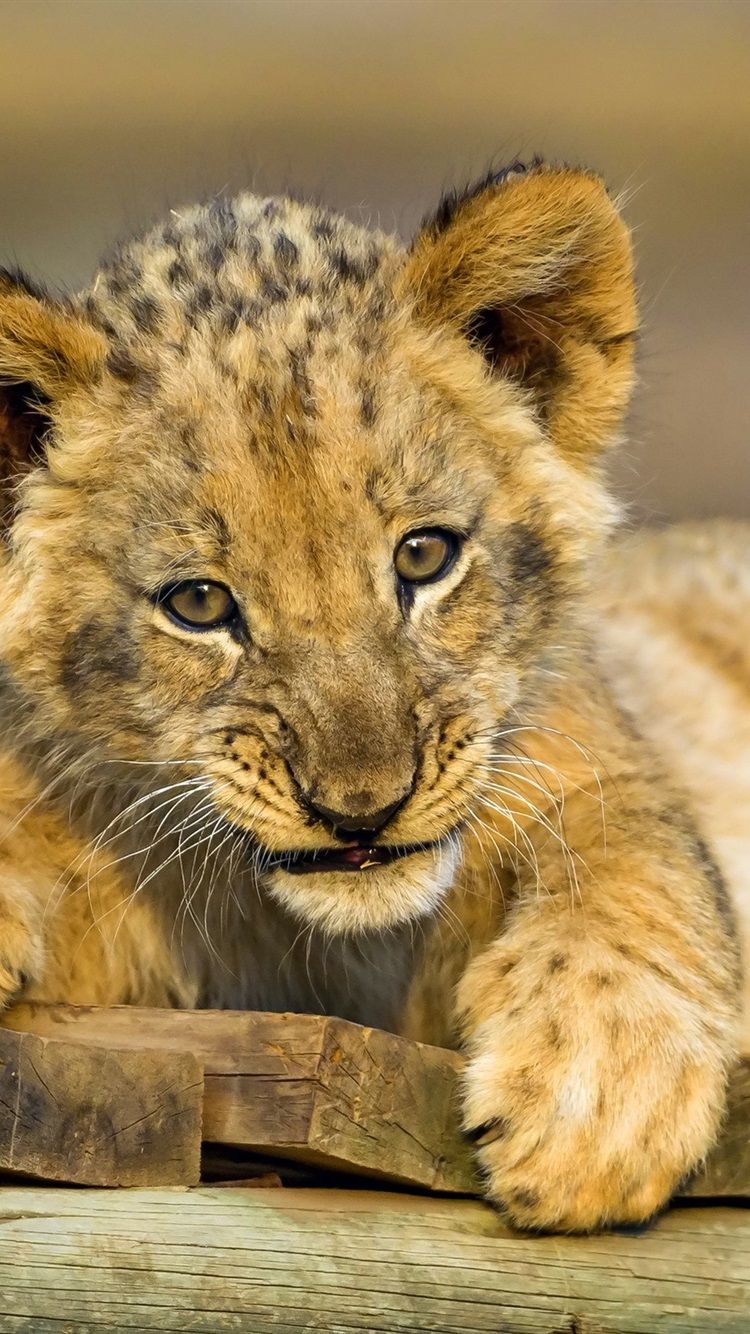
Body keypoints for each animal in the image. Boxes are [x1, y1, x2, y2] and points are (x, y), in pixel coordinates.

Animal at [0, 161, 744, 1232]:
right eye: (198, 604)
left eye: (424, 556)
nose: (362, 811)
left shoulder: (593, 751)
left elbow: (634, 859)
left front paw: (596, 1098)